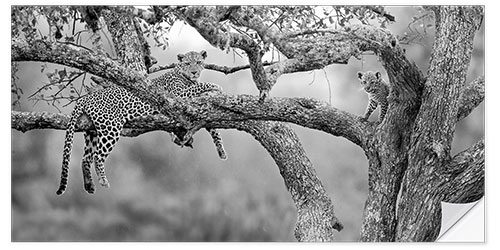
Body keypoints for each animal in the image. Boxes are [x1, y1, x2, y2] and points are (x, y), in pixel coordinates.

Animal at [56, 50, 227, 195]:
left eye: (198, 62)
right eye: (187, 63)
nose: (194, 72)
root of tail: (86, 97)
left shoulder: (199, 111)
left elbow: (213, 128)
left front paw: (221, 151)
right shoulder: (178, 96)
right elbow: (200, 86)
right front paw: (216, 86)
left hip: (93, 131)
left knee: (86, 158)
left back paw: (89, 186)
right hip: (111, 128)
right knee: (98, 156)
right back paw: (103, 180)